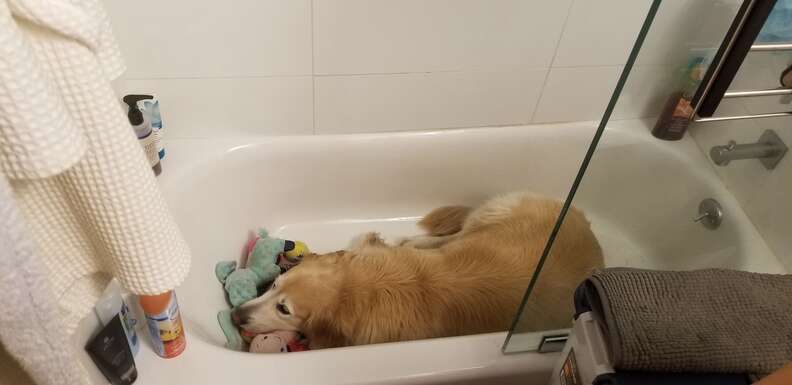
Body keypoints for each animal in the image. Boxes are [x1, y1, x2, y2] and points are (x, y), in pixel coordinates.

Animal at [232, 192, 604, 348]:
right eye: (275, 284)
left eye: (284, 308)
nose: (236, 315)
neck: (366, 289)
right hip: (485, 221)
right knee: (450, 237)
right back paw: (412, 239)